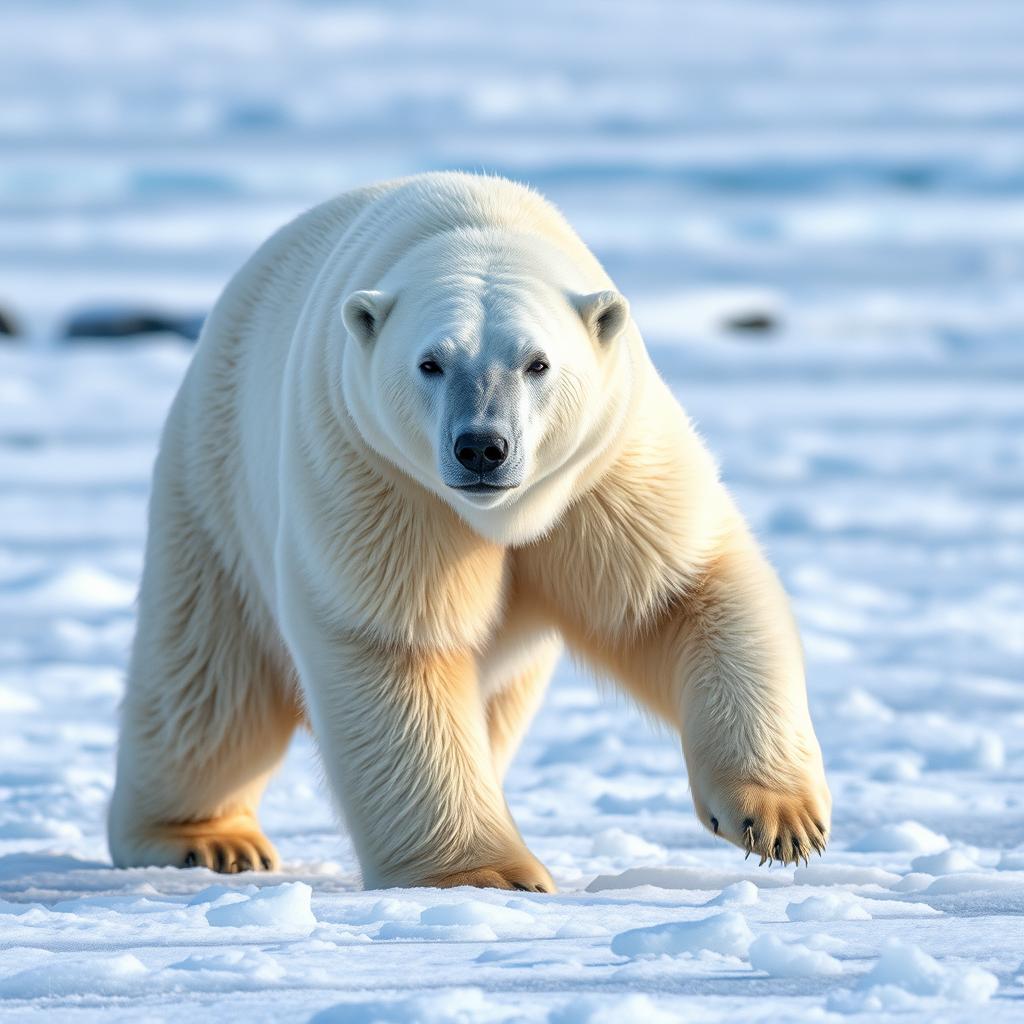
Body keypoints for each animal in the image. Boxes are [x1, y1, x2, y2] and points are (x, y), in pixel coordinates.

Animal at [108, 172, 831, 890]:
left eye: (537, 362)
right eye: (430, 362)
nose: (482, 447)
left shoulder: (605, 470)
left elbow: (680, 594)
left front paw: (780, 821)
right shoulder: (379, 477)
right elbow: (398, 643)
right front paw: (484, 876)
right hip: (214, 481)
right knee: (209, 684)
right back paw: (207, 840)